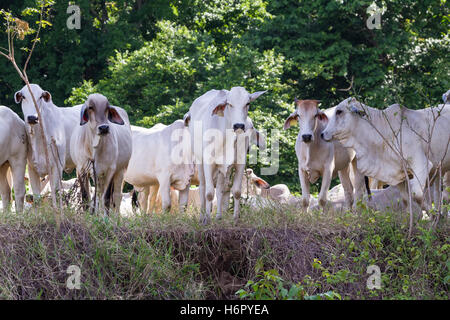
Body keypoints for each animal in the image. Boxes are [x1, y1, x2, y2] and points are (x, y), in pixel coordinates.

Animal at [185, 86, 266, 224]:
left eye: (247, 103)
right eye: (229, 104)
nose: (239, 125)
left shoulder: (239, 164)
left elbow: (236, 191)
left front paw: (236, 219)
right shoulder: (208, 162)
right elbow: (209, 193)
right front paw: (207, 219)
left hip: (224, 170)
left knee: (221, 189)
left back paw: (218, 216)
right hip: (200, 162)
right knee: (203, 187)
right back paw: (202, 216)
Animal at [322, 97, 450, 215]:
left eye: (339, 111)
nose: (322, 134)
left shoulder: (421, 164)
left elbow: (417, 195)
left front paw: (433, 216)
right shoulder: (398, 174)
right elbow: (406, 200)